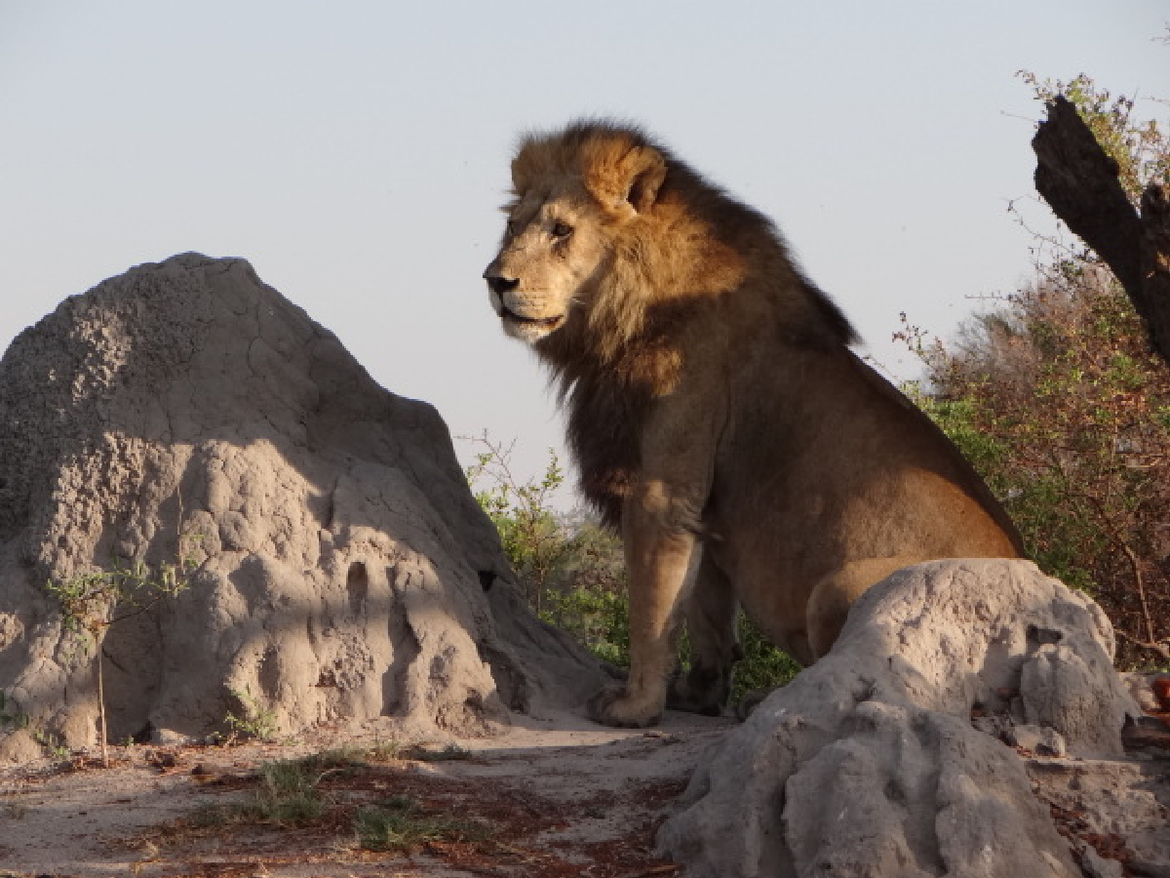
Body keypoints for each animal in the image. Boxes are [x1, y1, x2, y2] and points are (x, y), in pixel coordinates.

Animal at [483, 120, 1024, 728]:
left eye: (561, 230)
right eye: (512, 225)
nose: (495, 281)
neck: (626, 312)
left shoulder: (661, 485)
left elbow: (652, 609)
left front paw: (634, 706)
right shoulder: (701, 505)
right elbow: (703, 606)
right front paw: (698, 694)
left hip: (842, 587)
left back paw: (769, 700)